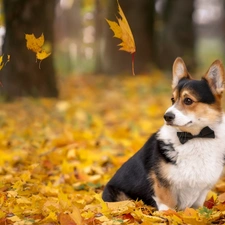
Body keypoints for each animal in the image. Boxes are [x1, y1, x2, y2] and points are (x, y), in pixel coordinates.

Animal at [102, 56, 225, 211]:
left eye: (188, 100)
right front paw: (169, 215)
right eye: (172, 99)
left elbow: (196, 207)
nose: (167, 116)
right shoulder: (163, 184)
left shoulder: (203, 189)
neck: (195, 137)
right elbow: (168, 205)